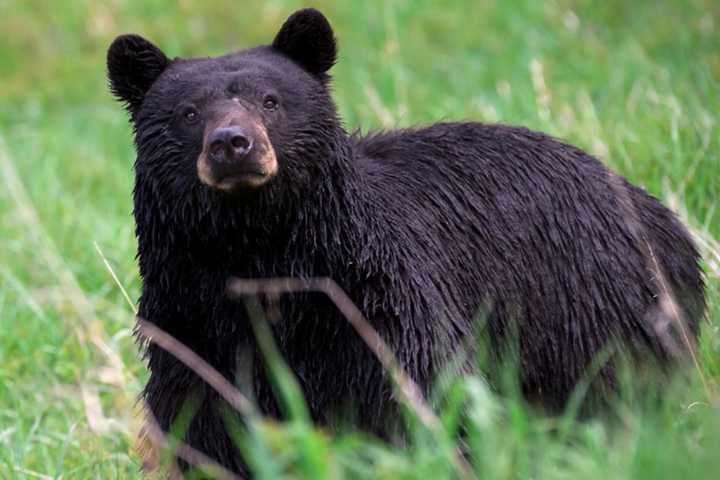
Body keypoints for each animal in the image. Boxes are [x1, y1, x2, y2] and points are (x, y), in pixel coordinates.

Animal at [107, 6, 704, 472]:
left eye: (271, 101)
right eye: (188, 113)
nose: (233, 144)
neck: (259, 251)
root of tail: (663, 217)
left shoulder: (377, 306)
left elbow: (418, 395)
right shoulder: (191, 323)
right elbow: (206, 424)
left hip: (596, 306)